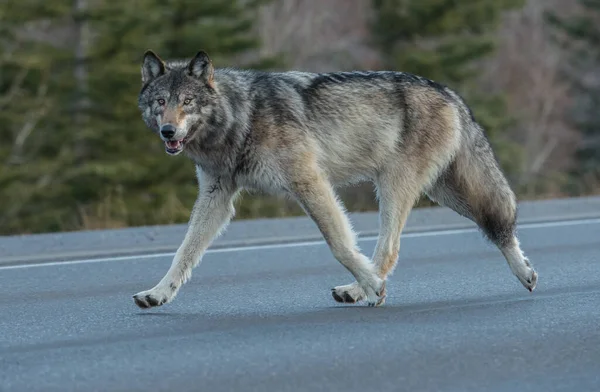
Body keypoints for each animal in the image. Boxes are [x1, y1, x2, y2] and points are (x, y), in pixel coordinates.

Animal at [132, 48, 540, 306]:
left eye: (186, 102)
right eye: (161, 103)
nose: (168, 132)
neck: (240, 119)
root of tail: (449, 92)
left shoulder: (309, 182)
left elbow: (340, 245)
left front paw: (374, 287)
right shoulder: (217, 196)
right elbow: (184, 253)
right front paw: (158, 294)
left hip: (397, 186)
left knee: (392, 248)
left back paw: (366, 288)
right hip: (440, 190)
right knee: (492, 223)